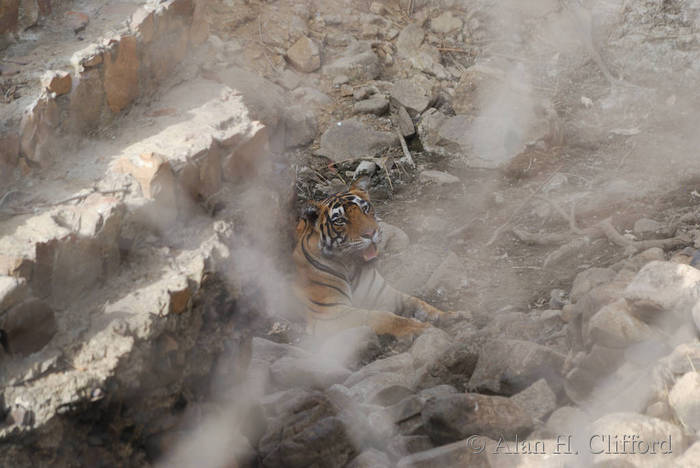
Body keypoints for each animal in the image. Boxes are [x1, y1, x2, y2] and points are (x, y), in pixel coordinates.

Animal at [293, 176, 452, 337]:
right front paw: (419, 328)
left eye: (365, 209)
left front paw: (448, 316)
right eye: (340, 221)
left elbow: (417, 303)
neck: (350, 267)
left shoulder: (383, 294)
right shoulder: (329, 313)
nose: (371, 233)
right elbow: (381, 316)